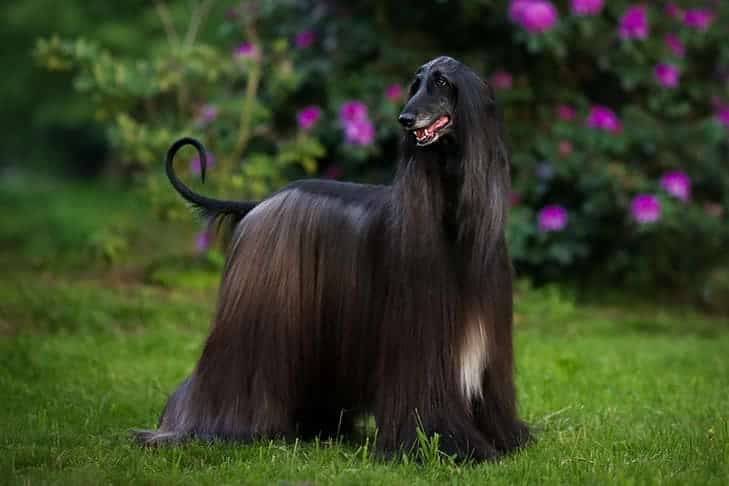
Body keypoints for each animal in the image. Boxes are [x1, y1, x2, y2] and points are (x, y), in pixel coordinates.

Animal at [134, 55, 528, 462]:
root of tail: (261, 202)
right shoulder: (420, 336)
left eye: (442, 83)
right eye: (415, 84)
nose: (405, 118)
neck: (452, 219)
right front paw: (448, 446)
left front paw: (504, 439)